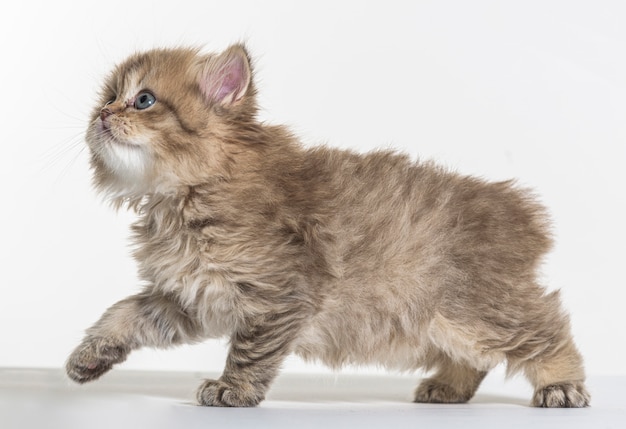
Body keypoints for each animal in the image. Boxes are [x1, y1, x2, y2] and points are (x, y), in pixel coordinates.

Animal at [66, 44, 588, 408]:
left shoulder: (279, 295)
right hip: (450, 322)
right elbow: (124, 313)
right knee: (474, 359)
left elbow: (249, 352)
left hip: (481, 310)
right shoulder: (190, 297)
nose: (101, 114)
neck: (185, 196)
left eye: (143, 100)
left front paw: (234, 390)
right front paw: (90, 355)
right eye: (108, 98)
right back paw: (448, 388)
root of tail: (514, 208)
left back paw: (562, 386)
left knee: (549, 330)